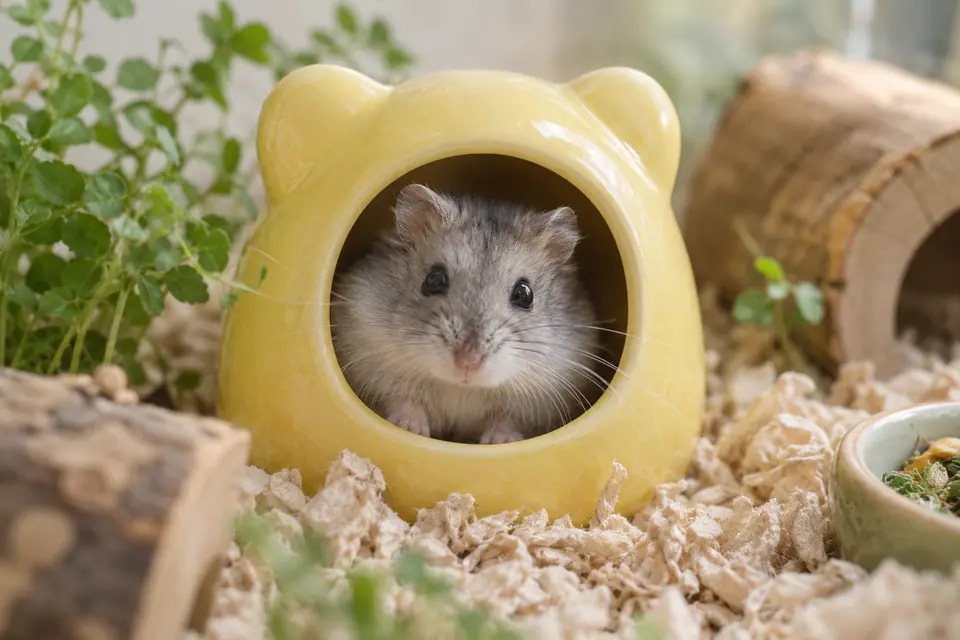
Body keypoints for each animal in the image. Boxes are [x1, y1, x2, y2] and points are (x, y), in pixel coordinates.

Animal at [330, 183, 603, 444]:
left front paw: (498, 441)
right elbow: (405, 401)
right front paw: (410, 428)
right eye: (434, 279)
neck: (459, 388)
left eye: (525, 294)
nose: (468, 362)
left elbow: (508, 420)